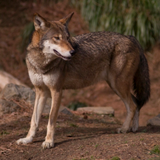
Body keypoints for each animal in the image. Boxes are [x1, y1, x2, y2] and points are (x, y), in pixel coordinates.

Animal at [16, 12, 150, 149]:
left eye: (68, 38)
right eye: (57, 38)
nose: (73, 52)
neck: (42, 64)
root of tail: (130, 37)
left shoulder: (56, 91)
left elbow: (51, 120)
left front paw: (49, 141)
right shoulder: (41, 91)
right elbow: (34, 120)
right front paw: (28, 139)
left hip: (118, 85)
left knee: (133, 105)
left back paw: (124, 128)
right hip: (116, 86)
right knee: (136, 103)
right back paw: (133, 128)